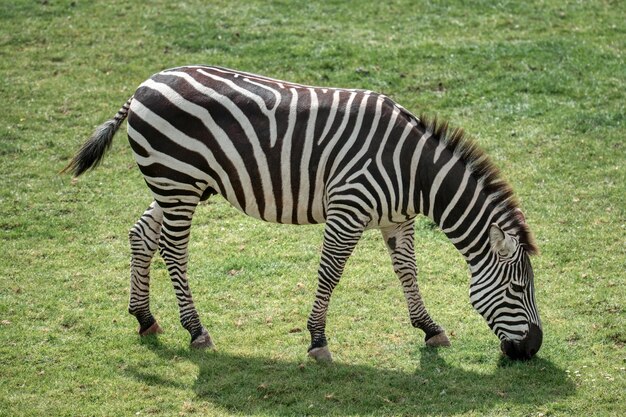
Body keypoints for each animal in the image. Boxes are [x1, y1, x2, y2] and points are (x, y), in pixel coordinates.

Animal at [64, 63, 540, 360]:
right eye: (519, 290)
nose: (533, 349)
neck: (412, 172)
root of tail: (144, 84)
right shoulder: (348, 210)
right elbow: (329, 273)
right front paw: (317, 340)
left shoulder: (396, 220)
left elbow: (407, 272)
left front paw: (429, 327)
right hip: (176, 182)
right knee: (174, 251)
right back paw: (196, 330)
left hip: (179, 186)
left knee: (142, 235)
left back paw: (145, 318)